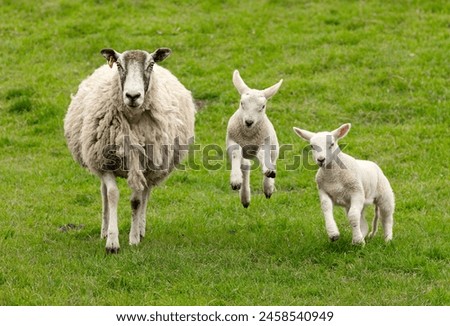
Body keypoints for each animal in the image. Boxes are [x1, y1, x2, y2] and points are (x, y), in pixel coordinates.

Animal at [63, 47, 195, 253]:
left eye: (151, 64)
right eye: (118, 65)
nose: (133, 96)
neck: (133, 118)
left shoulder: (145, 166)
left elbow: (137, 201)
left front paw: (133, 239)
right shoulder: (105, 163)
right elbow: (112, 195)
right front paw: (112, 242)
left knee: (146, 194)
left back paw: (140, 229)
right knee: (104, 193)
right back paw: (104, 230)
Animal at [227, 70, 284, 208]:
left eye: (263, 106)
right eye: (242, 103)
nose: (249, 122)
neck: (248, 136)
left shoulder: (263, 142)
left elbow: (264, 155)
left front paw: (268, 172)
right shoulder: (232, 141)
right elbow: (235, 154)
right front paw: (235, 180)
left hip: (274, 146)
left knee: (272, 160)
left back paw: (268, 188)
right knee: (245, 167)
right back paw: (245, 198)